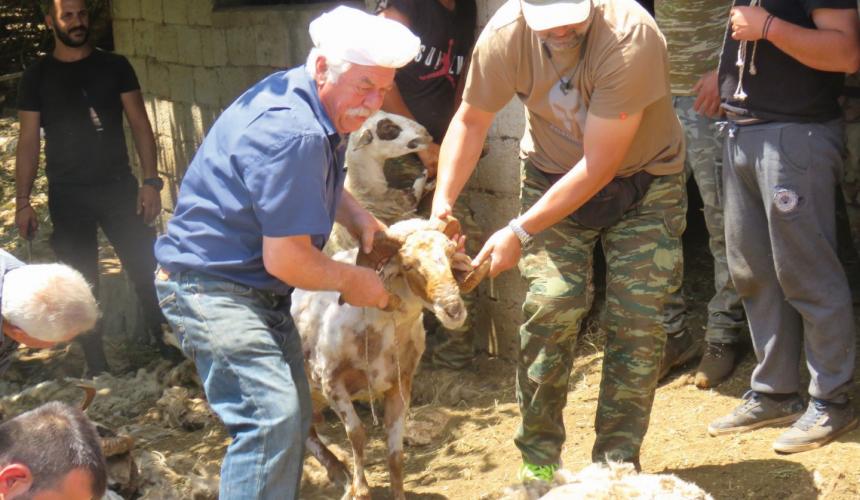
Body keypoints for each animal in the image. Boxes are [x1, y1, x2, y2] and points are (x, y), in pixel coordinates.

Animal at [291, 217, 489, 500]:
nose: (453, 310)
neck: (384, 327)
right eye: (408, 265)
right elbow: (357, 434)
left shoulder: (401, 384)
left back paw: (339, 475)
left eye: (451, 255)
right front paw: (361, 490)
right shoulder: (332, 384)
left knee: (307, 431)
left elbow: (395, 450)